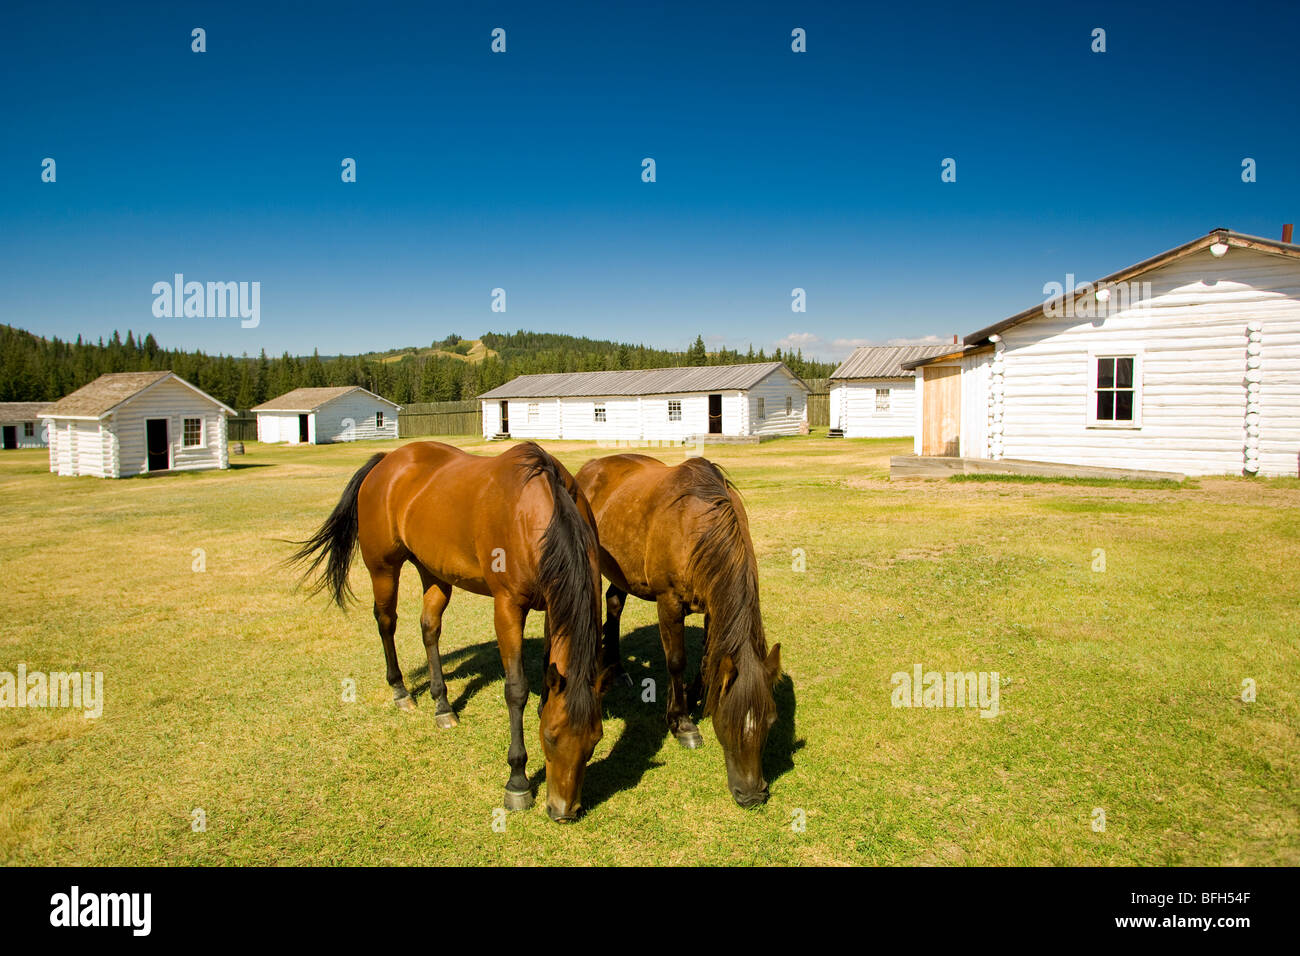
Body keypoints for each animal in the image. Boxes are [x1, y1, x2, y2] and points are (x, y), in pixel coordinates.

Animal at [292, 442, 611, 822]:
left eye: (594, 741)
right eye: (550, 737)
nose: (563, 810)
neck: (536, 511)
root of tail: (387, 460)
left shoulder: (551, 604)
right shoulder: (507, 608)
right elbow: (516, 689)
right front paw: (517, 781)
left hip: (433, 571)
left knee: (429, 629)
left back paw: (442, 705)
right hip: (383, 568)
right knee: (386, 622)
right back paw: (400, 691)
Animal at [579, 455, 780, 806]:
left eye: (770, 720)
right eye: (727, 721)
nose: (753, 794)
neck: (695, 527)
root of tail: (589, 467)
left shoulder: (713, 605)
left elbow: (708, 659)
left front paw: (696, 695)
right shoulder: (669, 603)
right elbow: (676, 660)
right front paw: (682, 721)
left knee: (614, 605)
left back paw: (617, 668)